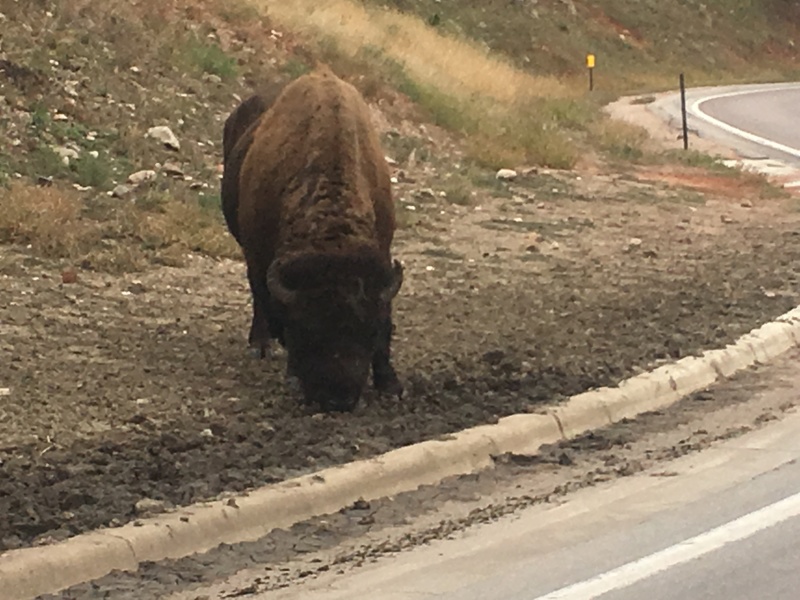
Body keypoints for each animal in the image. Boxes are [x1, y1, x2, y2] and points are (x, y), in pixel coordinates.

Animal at [221, 66, 404, 412]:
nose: (336, 398)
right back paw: (260, 346)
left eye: (368, 329)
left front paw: (390, 384)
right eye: (303, 330)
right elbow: (266, 300)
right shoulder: (258, 256)